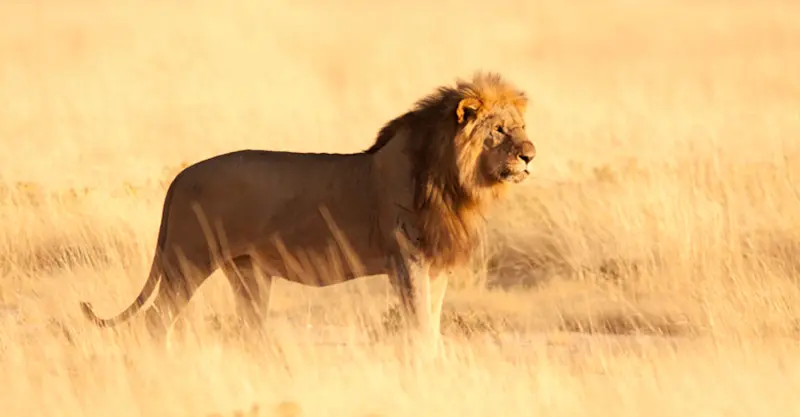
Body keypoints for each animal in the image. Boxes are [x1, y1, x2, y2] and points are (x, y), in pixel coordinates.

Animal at [79, 71, 536, 351]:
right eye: (499, 130)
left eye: (522, 128)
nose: (530, 155)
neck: (453, 180)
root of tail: (179, 177)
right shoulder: (408, 259)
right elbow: (421, 324)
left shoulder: (435, 263)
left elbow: (434, 324)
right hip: (187, 261)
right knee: (157, 319)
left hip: (247, 272)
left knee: (248, 328)